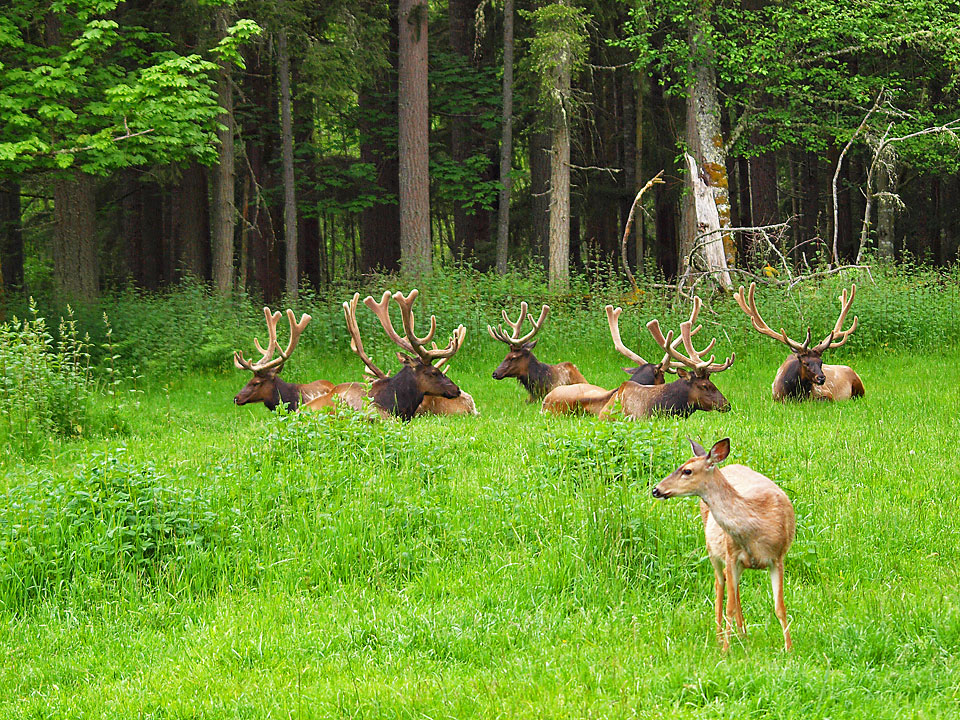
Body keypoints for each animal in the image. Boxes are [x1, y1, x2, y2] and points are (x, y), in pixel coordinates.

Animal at [652, 438, 796, 652]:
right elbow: (729, 606)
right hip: (713, 550)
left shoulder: (777, 558)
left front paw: (789, 648)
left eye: (687, 470)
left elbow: (780, 607)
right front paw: (725, 649)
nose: (656, 489)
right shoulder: (731, 554)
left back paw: (742, 633)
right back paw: (721, 636)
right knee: (720, 584)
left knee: (733, 589)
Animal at [736, 282, 864, 402]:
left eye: (821, 362)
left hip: (859, 387)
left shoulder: (826, 394)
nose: (821, 378)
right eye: (805, 362)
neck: (795, 394)